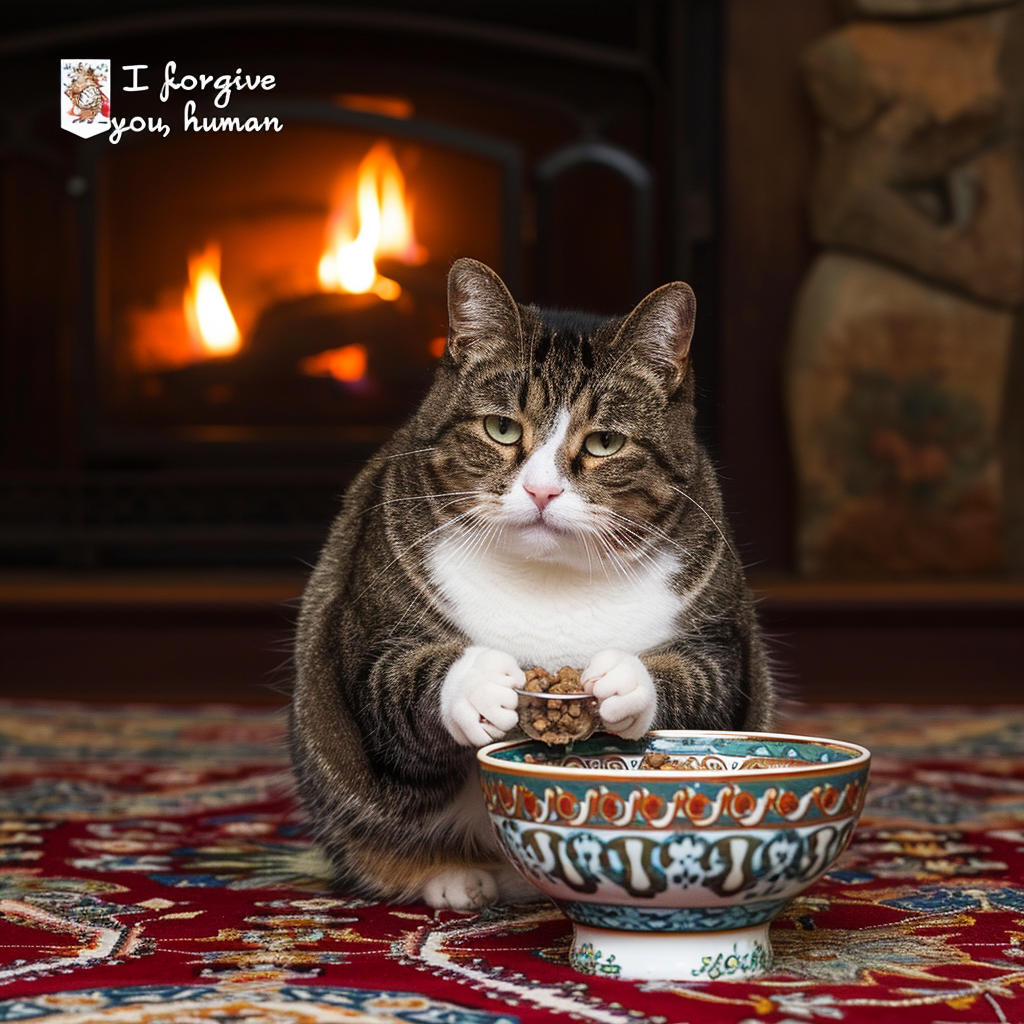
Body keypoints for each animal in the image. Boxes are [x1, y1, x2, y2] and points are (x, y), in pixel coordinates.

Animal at [286, 258, 770, 913]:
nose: (542, 491)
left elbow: (703, 680)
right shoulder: (365, 643)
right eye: (500, 429)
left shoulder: (726, 644)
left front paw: (623, 681)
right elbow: (393, 683)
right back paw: (454, 879)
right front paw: (477, 685)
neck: (550, 577)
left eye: (604, 441)